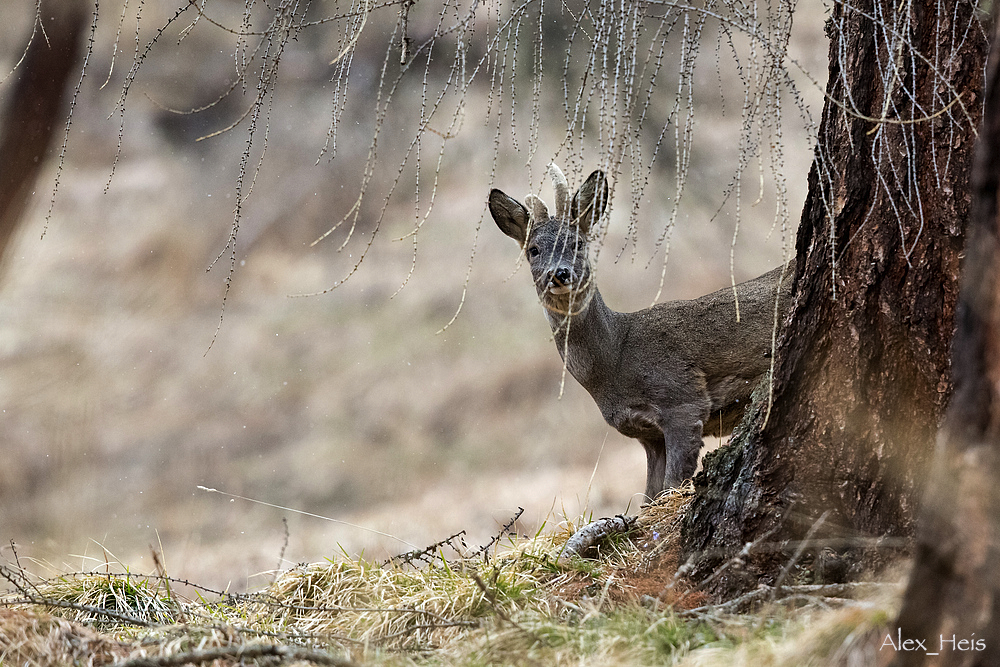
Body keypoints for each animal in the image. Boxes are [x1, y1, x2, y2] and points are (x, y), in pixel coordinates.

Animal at [488, 164, 792, 500]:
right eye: (533, 250)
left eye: (578, 243)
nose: (560, 274)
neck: (615, 358)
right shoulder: (647, 434)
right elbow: (649, 497)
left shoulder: (683, 401)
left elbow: (671, 486)